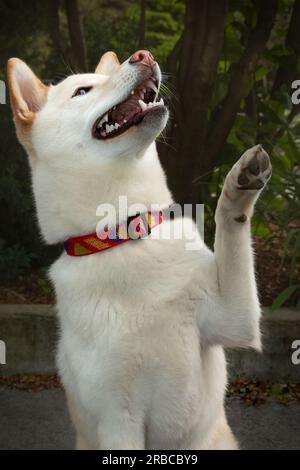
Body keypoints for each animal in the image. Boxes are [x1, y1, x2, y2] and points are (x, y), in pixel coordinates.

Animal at [7, 49, 272, 450]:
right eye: (82, 90)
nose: (143, 55)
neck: (124, 234)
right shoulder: (118, 420)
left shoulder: (234, 319)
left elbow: (232, 229)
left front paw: (239, 185)